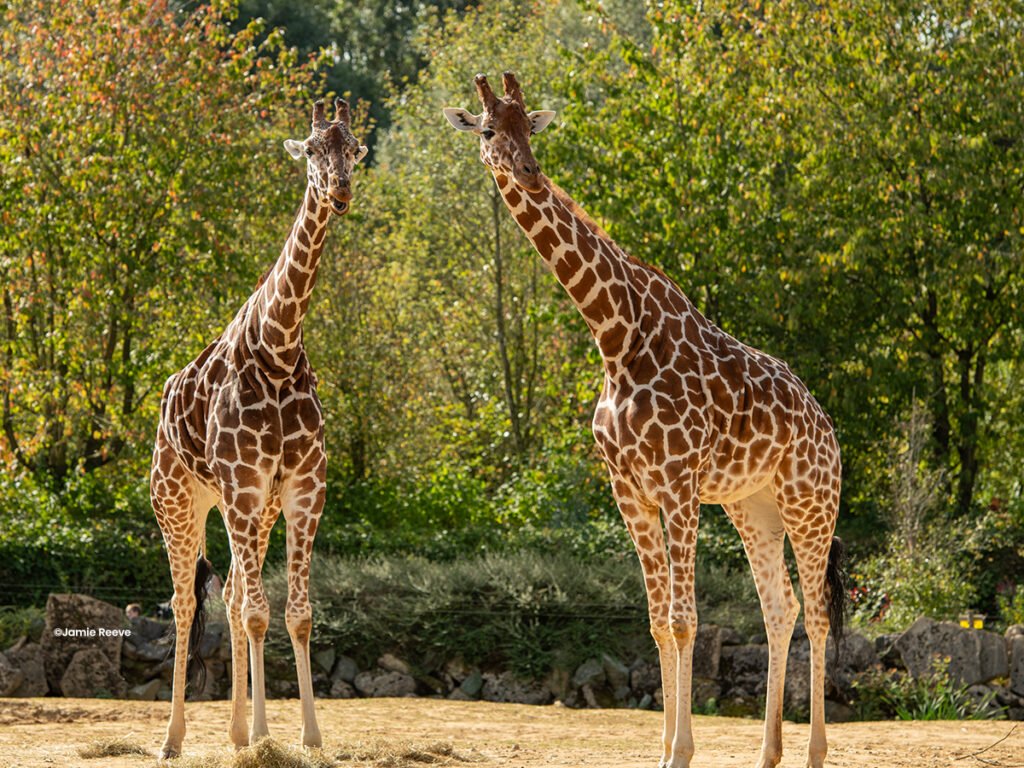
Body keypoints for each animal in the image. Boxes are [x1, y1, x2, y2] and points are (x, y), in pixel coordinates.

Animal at [150, 96, 367, 759]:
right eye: (313, 150)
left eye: (354, 149)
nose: (340, 191)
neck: (278, 346)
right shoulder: (245, 484)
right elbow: (255, 612)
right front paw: (272, 737)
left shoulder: (301, 488)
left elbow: (294, 612)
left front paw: (306, 736)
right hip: (179, 501)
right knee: (185, 602)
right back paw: (173, 739)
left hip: (246, 509)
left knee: (230, 594)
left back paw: (241, 731)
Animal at [445, 72, 846, 768]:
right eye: (491, 129)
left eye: (530, 128)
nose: (528, 171)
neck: (615, 334)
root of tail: (827, 428)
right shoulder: (629, 489)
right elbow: (659, 622)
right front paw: (664, 749)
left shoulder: (678, 484)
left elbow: (686, 621)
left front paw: (681, 751)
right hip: (753, 507)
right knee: (781, 607)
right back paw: (768, 752)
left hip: (809, 500)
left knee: (818, 611)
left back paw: (815, 752)